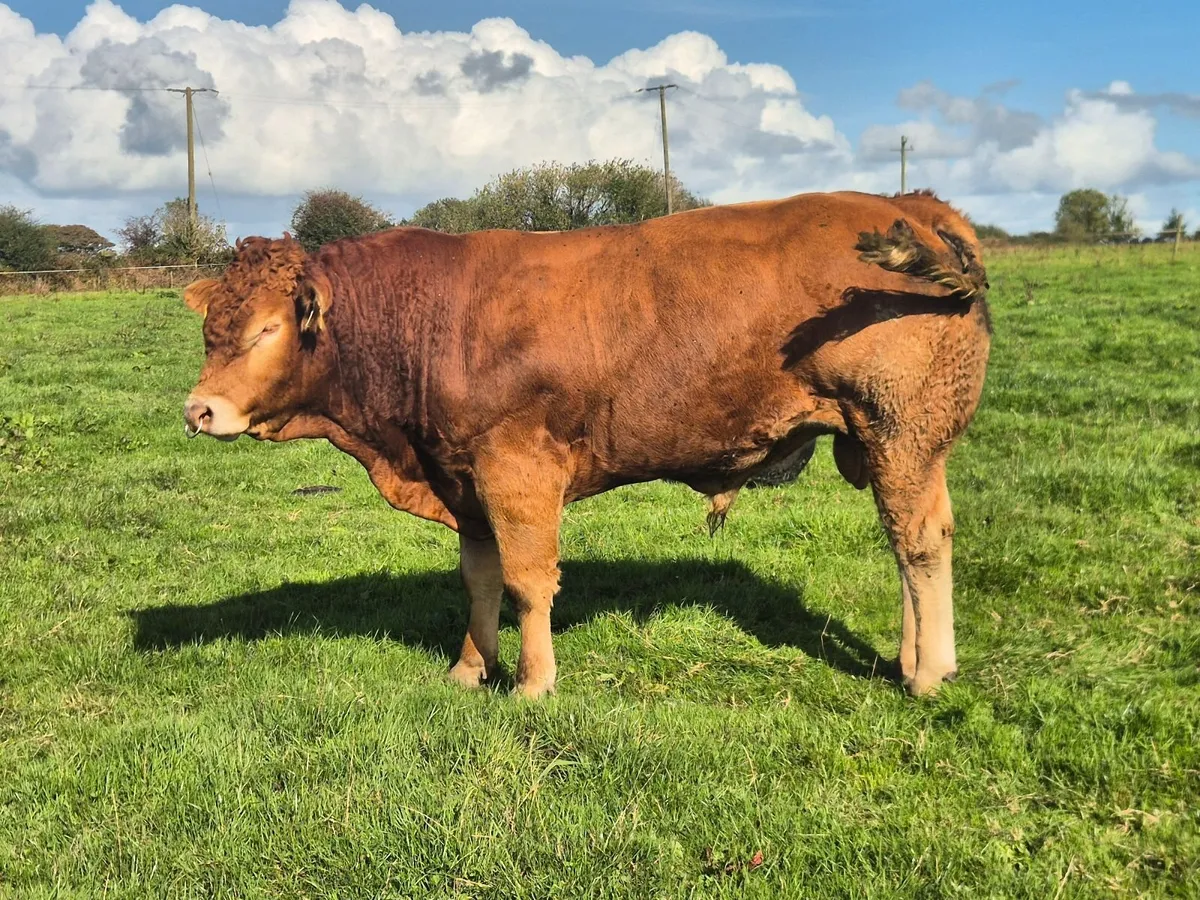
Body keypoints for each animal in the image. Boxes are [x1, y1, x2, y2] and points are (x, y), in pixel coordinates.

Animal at [180, 190, 991, 699]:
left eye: (266, 329)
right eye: (212, 328)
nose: (199, 410)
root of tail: (916, 205)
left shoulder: (517, 470)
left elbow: (527, 581)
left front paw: (533, 683)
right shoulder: (464, 479)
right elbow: (480, 581)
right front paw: (470, 669)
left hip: (903, 431)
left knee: (918, 543)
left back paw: (927, 673)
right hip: (902, 442)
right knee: (916, 541)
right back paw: (913, 659)